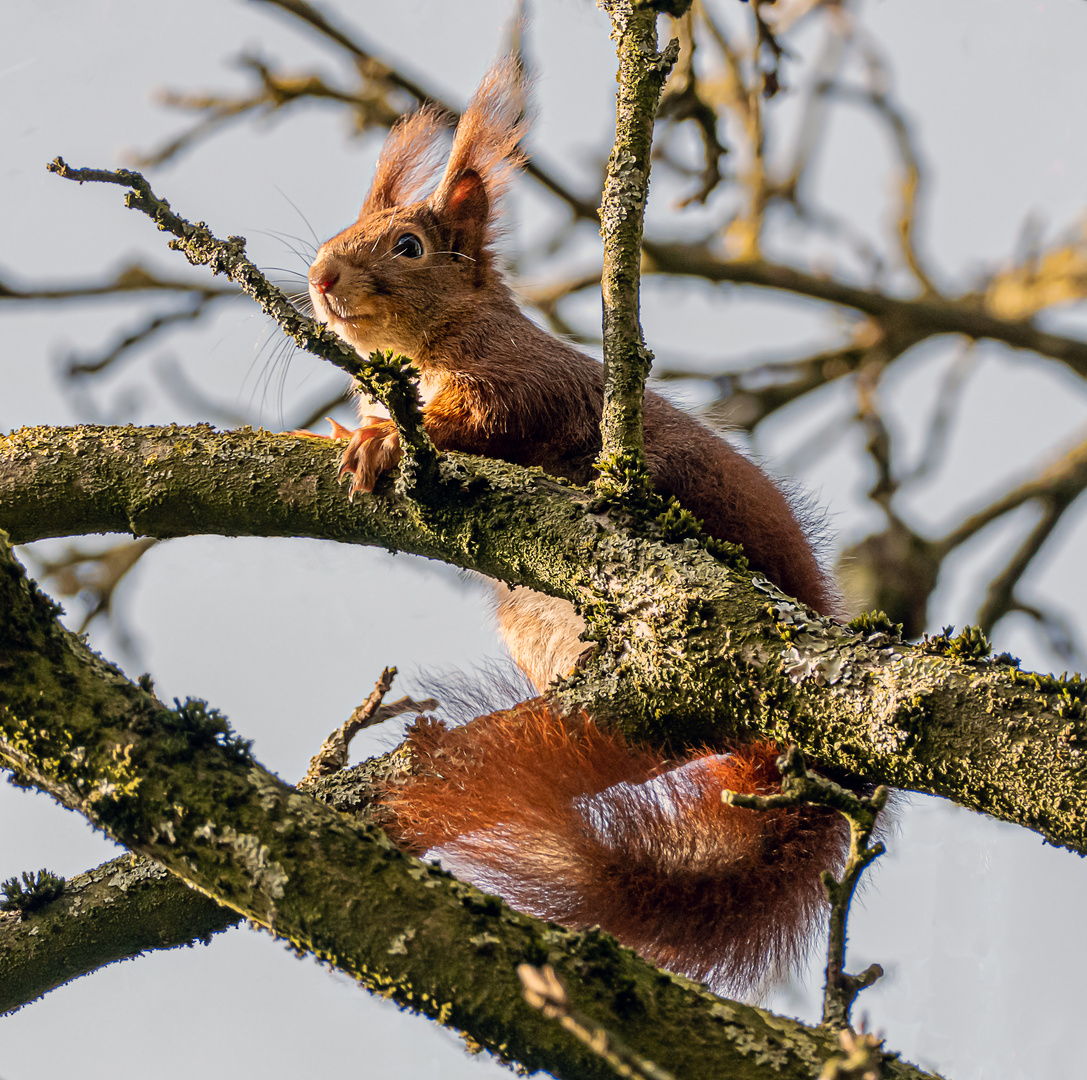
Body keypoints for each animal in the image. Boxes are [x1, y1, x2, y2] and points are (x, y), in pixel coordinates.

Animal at [306, 58, 847, 995]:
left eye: (408, 247)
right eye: (343, 227)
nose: (321, 277)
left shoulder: (520, 379)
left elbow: (485, 421)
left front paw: (382, 440)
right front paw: (353, 429)